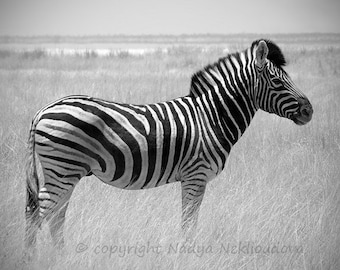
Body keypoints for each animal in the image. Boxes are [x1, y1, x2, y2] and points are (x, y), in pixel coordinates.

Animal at [25, 39, 314, 249]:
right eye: (277, 81)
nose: (309, 111)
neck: (212, 116)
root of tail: (42, 110)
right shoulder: (196, 175)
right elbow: (189, 221)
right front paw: (188, 254)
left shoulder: (192, 177)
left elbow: (188, 220)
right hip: (63, 168)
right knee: (42, 213)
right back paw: (38, 256)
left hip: (64, 172)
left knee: (51, 214)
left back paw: (58, 254)